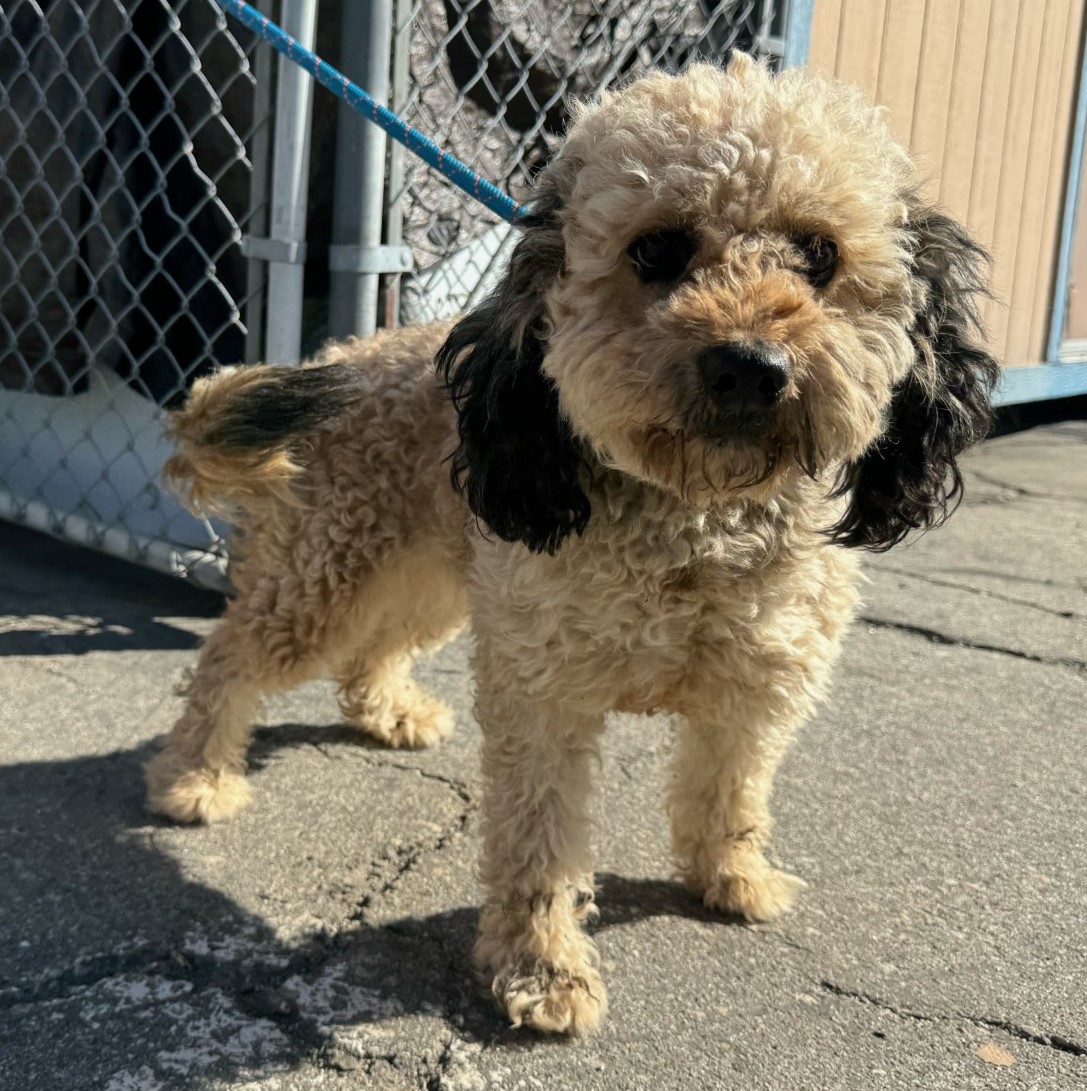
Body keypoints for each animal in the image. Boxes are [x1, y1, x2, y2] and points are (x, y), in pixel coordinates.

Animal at [146, 57, 1004, 1029]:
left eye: (818, 254)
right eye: (656, 249)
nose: (750, 365)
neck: (693, 520)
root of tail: (348, 353)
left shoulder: (755, 688)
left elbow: (730, 791)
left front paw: (732, 875)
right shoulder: (543, 695)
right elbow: (539, 842)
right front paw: (541, 968)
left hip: (433, 580)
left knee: (372, 649)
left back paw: (386, 711)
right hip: (328, 576)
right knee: (229, 655)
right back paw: (195, 776)